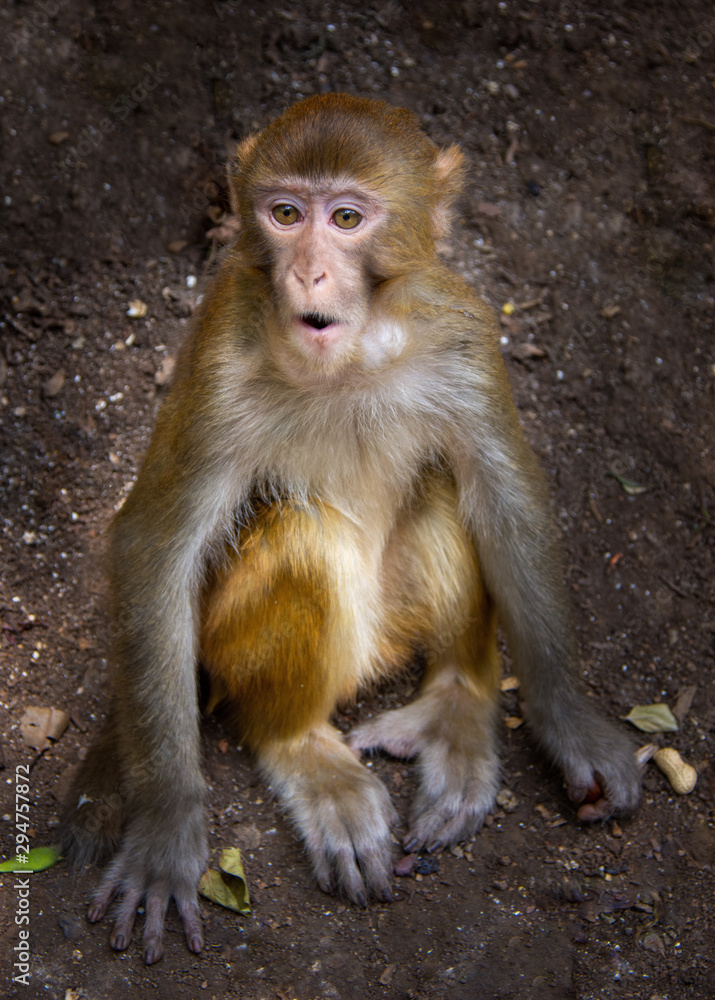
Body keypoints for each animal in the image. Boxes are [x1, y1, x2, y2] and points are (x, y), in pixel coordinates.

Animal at [60, 93, 641, 964]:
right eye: (284, 214)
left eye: (345, 218)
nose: (307, 271)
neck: (357, 352)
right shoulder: (219, 352)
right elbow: (154, 547)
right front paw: (166, 827)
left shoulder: (462, 331)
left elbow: (504, 494)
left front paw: (569, 724)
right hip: (232, 645)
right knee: (302, 540)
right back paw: (302, 749)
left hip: (399, 626)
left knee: (441, 487)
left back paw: (457, 705)